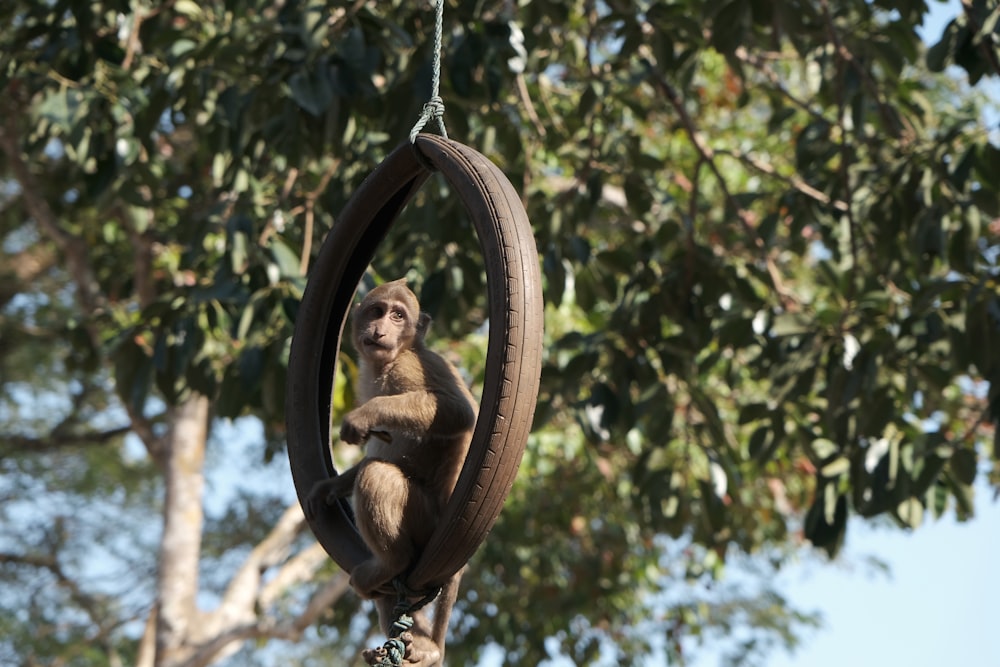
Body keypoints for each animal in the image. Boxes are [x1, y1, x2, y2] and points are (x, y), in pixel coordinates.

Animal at [304, 278, 476, 667]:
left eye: (399, 316)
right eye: (377, 311)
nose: (380, 330)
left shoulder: (411, 366)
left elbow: (458, 412)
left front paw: (365, 416)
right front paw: (329, 487)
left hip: (425, 518)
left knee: (376, 476)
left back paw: (390, 564)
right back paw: (420, 646)